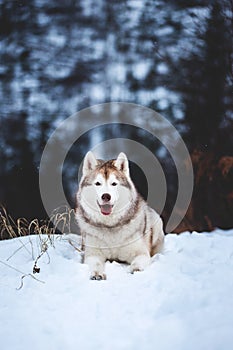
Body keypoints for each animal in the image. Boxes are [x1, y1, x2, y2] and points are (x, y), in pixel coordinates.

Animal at [74, 152, 164, 280]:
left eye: (114, 184)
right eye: (97, 183)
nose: (106, 196)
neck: (110, 226)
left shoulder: (141, 253)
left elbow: (138, 261)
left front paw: (135, 269)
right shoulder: (93, 254)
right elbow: (96, 263)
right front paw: (97, 273)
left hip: (156, 222)